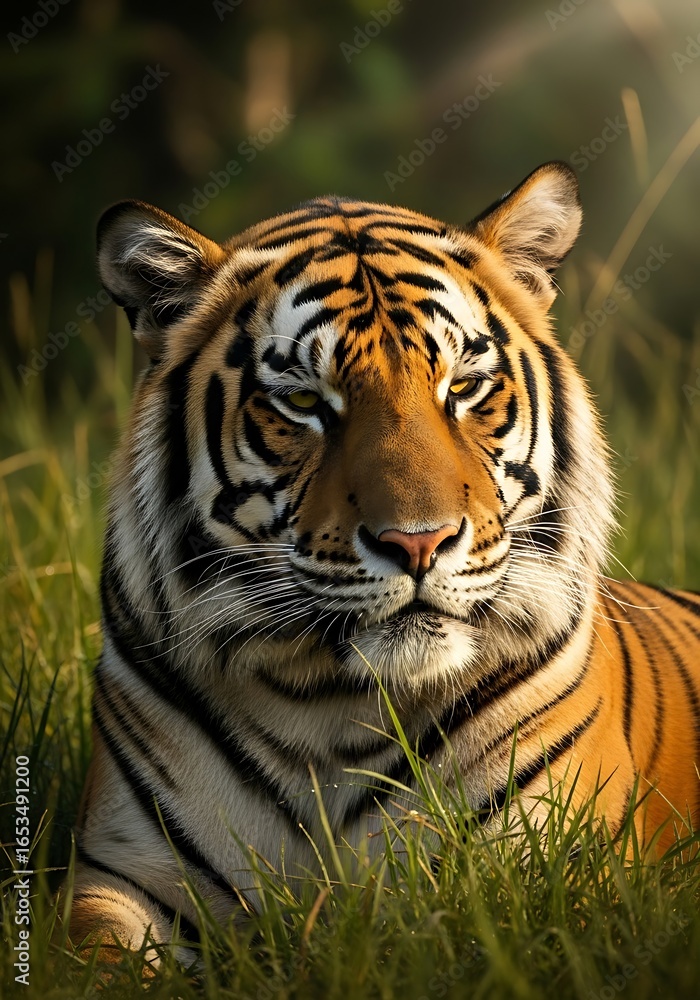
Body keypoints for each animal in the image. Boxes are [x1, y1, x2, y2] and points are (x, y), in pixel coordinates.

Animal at [67, 162, 700, 963]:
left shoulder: (572, 881)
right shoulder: (121, 876)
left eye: (463, 387)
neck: (326, 711)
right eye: (304, 401)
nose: (419, 543)